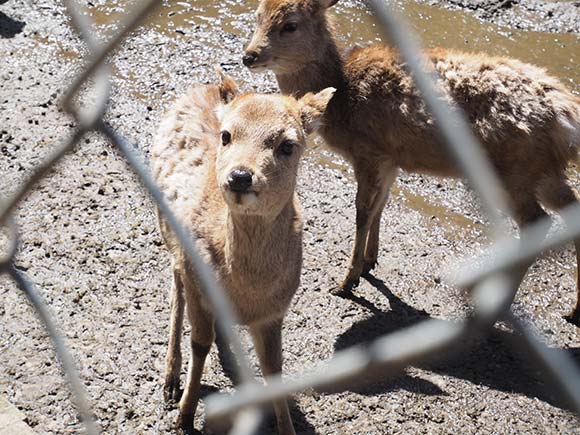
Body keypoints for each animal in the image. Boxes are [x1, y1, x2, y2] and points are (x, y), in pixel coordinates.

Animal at [152, 70, 336, 434]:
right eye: (226, 135)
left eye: (288, 144)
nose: (240, 176)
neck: (246, 291)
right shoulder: (196, 278)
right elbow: (200, 344)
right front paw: (184, 416)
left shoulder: (275, 310)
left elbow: (274, 367)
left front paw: (287, 428)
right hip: (168, 230)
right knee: (175, 282)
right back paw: (169, 381)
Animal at [242, 0, 580, 326]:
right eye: (257, 16)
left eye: (290, 25)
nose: (249, 56)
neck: (341, 93)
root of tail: (566, 114)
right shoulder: (390, 158)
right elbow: (381, 204)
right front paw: (369, 262)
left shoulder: (368, 151)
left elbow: (363, 211)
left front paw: (347, 281)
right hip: (542, 171)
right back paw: (573, 310)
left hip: (514, 169)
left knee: (536, 222)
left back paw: (500, 306)